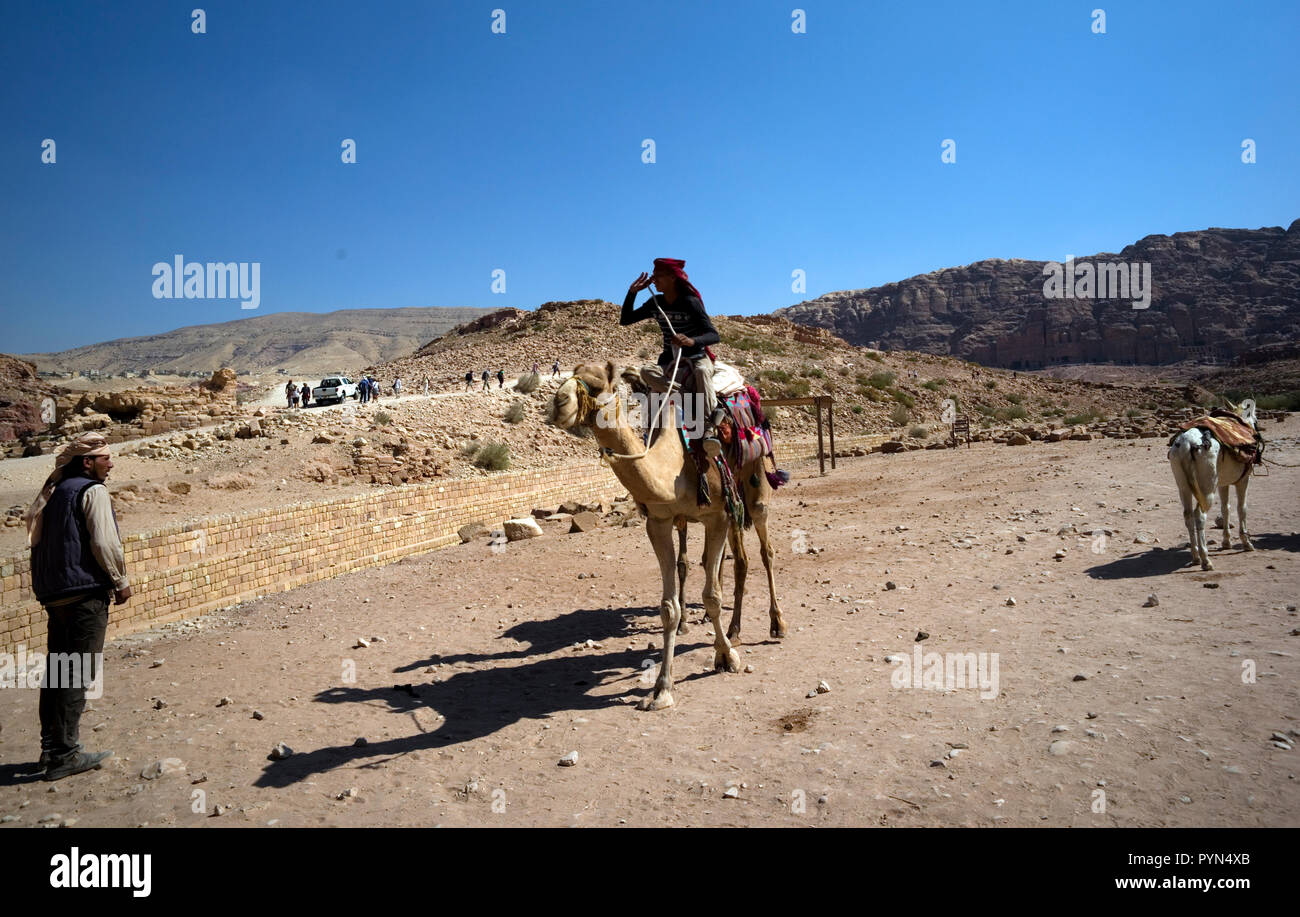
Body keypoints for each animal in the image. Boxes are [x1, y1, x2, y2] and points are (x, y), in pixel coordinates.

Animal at [546, 358, 780, 707]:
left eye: (598, 385)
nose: (558, 403)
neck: (674, 468)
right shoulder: (659, 521)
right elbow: (669, 606)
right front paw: (662, 688)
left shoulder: (716, 515)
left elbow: (711, 595)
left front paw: (726, 657)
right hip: (732, 499)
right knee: (735, 560)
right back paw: (734, 629)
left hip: (754, 479)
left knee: (764, 552)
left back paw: (775, 624)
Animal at [1170, 398, 1258, 569]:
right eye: (1255, 419)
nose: (1257, 433)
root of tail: (1187, 443)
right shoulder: (1243, 480)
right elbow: (1241, 509)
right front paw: (1246, 543)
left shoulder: (1223, 484)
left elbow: (1225, 509)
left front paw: (1226, 542)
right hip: (1207, 490)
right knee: (1200, 516)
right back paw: (1205, 559)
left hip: (1184, 487)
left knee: (1188, 515)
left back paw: (1196, 557)